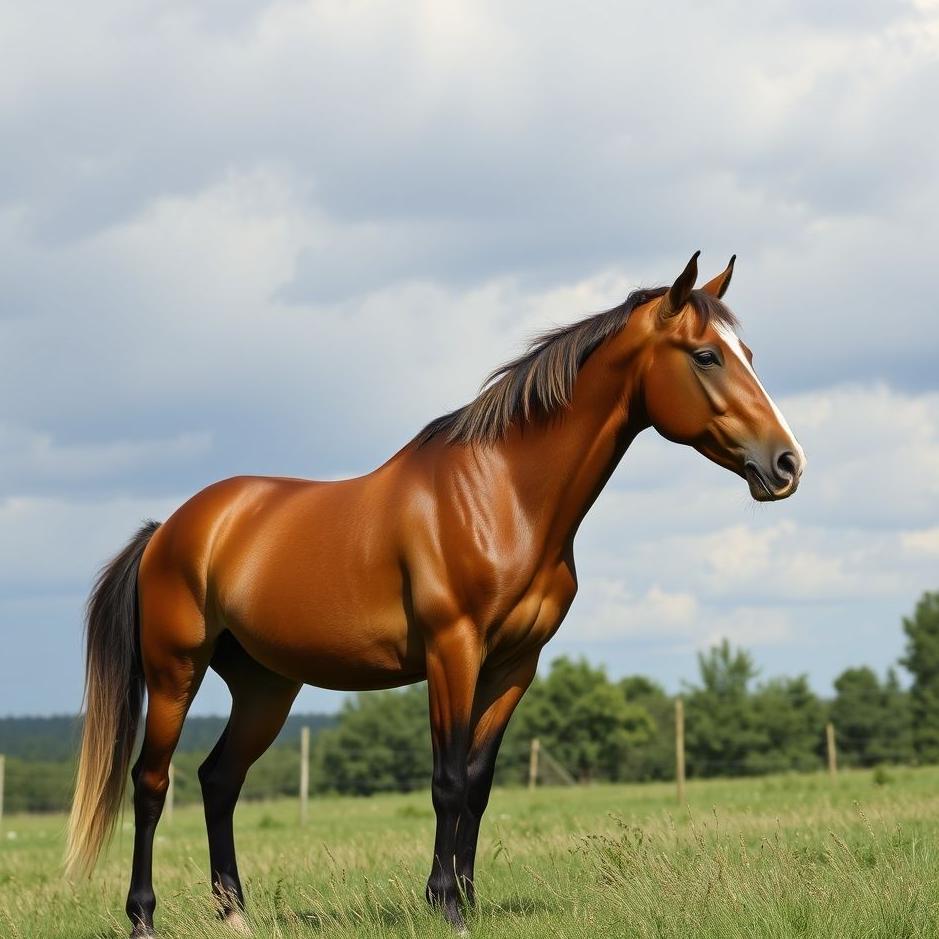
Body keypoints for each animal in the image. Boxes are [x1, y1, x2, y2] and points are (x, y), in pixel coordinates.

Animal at [65, 252, 804, 936]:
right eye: (706, 355)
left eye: (747, 354)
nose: (786, 462)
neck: (500, 495)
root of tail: (170, 530)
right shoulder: (453, 651)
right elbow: (446, 781)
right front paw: (446, 904)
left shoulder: (514, 665)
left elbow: (476, 783)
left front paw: (465, 898)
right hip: (174, 673)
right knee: (152, 784)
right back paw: (142, 916)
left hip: (264, 686)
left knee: (219, 780)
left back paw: (235, 914)